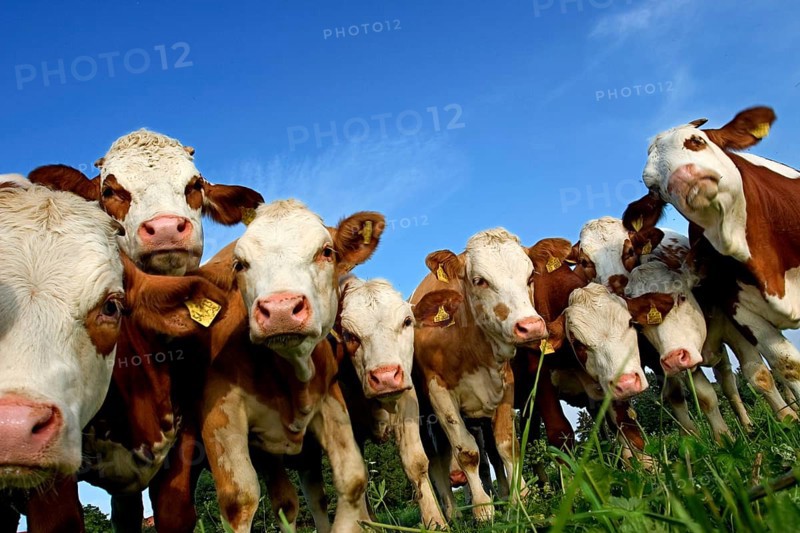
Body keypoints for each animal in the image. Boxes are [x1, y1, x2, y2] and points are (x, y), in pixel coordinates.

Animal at [198, 199, 384, 533]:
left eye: (326, 251)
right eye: (239, 264)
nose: (281, 309)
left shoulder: (329, 399)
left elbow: (352, 478)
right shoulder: (220, 410)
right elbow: (240, 500)